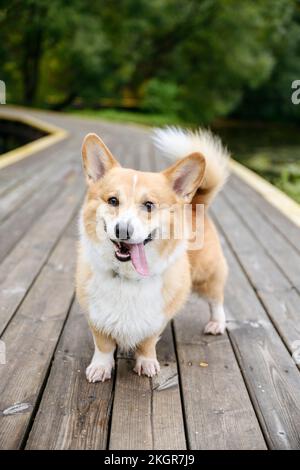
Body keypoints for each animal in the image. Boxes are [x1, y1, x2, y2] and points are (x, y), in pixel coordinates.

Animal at [76, 127, 229, 382]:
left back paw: (217, 323)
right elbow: (103, 345)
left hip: (207, 275)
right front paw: (100, 367)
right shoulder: (95, 316)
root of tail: (195, 202)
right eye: (113, 200)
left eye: (149, 205)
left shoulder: (157, 318)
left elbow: (147, 343)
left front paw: (146, 363)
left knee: (217, 299)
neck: (127, 277)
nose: (122, 230)